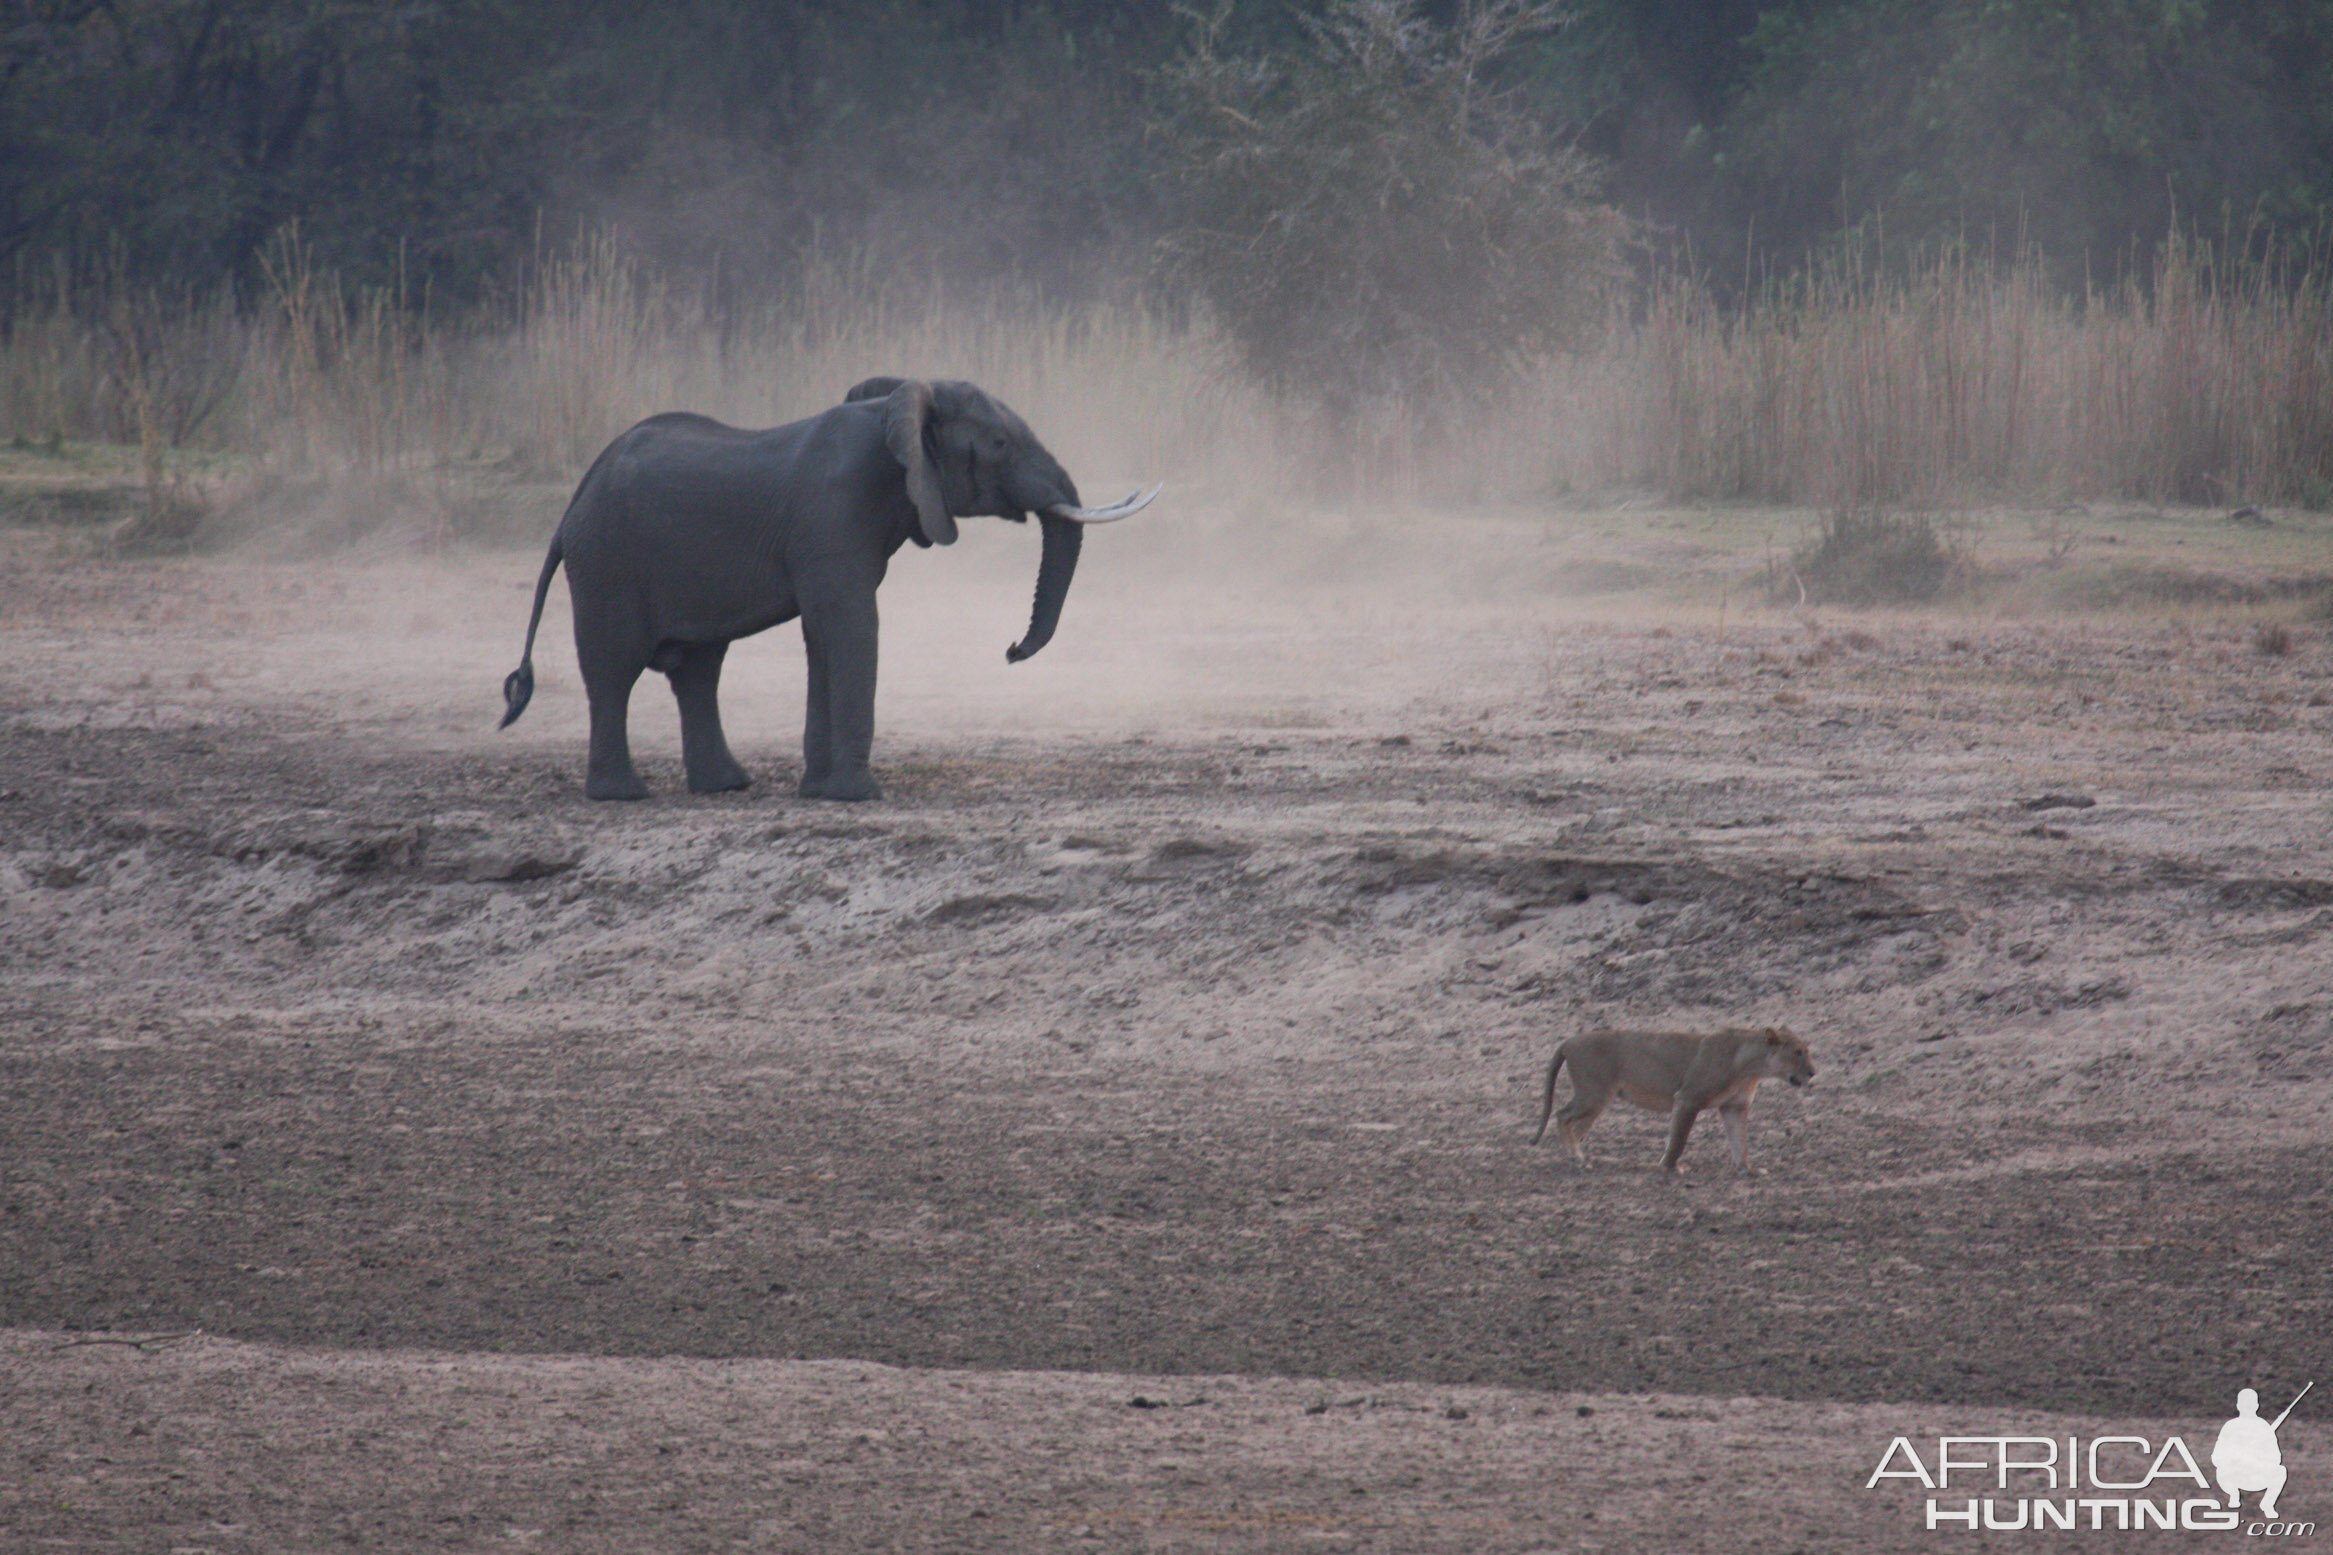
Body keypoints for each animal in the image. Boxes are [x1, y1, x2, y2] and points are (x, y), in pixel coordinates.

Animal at [501, 377, 1157, 801]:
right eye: (999, 445)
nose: (1011, 650)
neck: (897, 410)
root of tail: (570, 508)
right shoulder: (832, 519)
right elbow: (850, 627)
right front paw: (858, 796)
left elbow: (823, 637)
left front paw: (821, 793)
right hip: (607, 563)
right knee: (615, 669)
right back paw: (623, 796)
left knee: (698, 670)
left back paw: (726, 786)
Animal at [1530, 1025, 1819, 1174]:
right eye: (1797, 1052)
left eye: (1806, 1051)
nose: (1813, 1072)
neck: (1751, 1067)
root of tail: (1568, 1040)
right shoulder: (1688, 1098)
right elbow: (1679, 1139)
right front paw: (1669, 1167)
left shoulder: (1734, 1107)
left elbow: (1740, 1141)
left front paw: (1746, 1169)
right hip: (1594, 1093)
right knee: (1562, 1115)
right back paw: (1574, 1157)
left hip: (1595, 1098)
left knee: (1572, 1123)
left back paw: (1577, 1154)